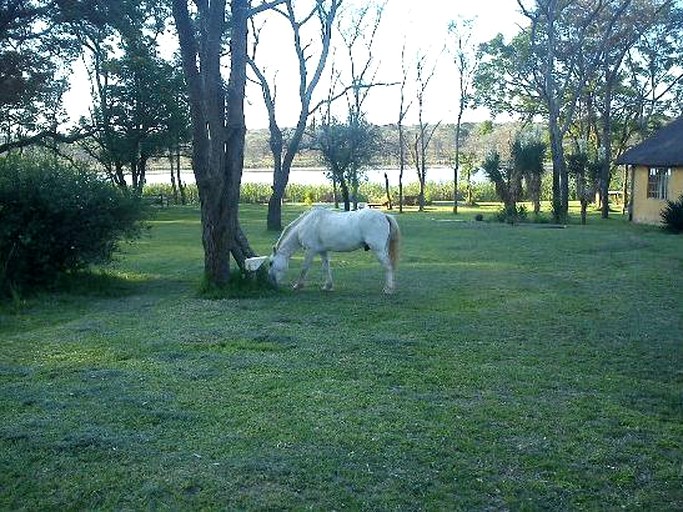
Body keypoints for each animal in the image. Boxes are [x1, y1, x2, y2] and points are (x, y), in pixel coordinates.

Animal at [268, 207, 400, 294]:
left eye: (271, 263)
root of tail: (384, 215)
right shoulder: (323, 251)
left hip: (378, 250)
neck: (306, 224)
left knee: (388, 267)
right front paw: (328, 286)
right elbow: (326, 268)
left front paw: (298, 286)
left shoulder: (310, 251)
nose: (271, 281)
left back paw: (388, 289)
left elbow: (304, 268)